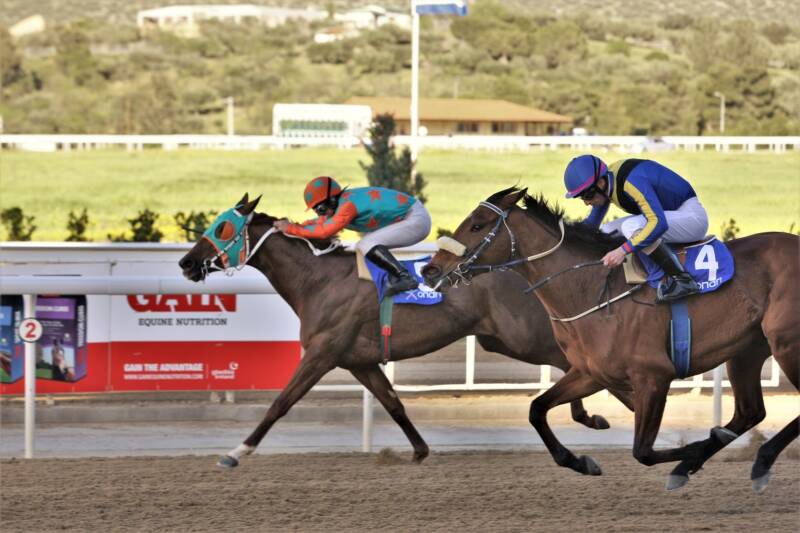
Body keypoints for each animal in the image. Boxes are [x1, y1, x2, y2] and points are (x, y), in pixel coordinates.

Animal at [177, 193, 612, 468]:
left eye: (222, 228)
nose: (186, 263)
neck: (318, 280)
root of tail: (519, 267)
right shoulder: (359, 361)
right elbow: (393, 403)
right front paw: (419, 451)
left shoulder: (322, 354)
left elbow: (280, 403)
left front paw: (237, 451)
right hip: (502, 339)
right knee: (571, 366)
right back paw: (590, 417)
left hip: (520, 337)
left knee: (572, 363)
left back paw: (590, 416)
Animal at [422, 186, 796, 490]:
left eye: (477, 225)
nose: (430, 269)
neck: (591, 290)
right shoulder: (591, 373)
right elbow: (536, 409)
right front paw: (580, 461)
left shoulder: (653, 376)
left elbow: (642, 451)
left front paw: (690, 452)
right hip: (746, 351)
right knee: (750, 412)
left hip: (786, 344)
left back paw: (756, 460)